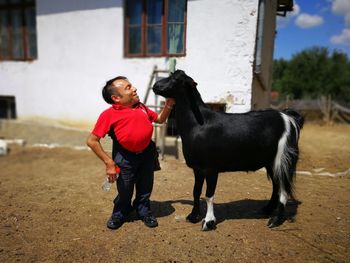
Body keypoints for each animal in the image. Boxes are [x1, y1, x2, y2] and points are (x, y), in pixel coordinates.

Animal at [153, 70, 304, 231]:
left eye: (176, 79)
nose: (155, 86)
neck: (198, 123)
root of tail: (289, 117)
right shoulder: (197, 168)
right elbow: (196, 191)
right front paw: (193, 216)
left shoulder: (211, 168)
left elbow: (209, 195)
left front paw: (208, 222)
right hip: (271, 162)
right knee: (276, 186)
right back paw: (266, 210)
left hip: (283, 159)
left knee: (283, 190)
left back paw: (274, 220)